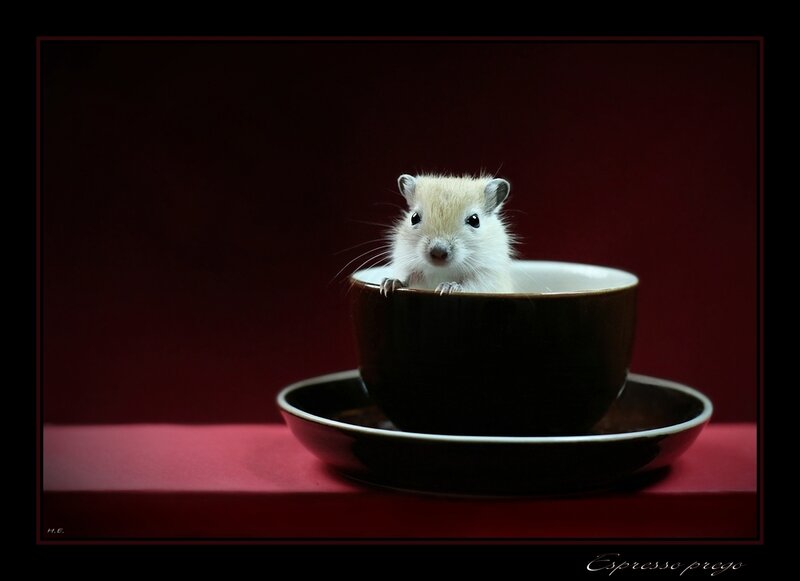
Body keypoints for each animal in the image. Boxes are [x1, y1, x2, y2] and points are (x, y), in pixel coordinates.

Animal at [380, 173, 515, 296]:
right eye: (414, 218)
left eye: (474, 220)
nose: (438, 253)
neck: (441, 270)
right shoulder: (406, 263)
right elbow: (406, 277)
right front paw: (388, 284)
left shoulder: (487, 276)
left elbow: (470, 285)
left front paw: (447, 288)